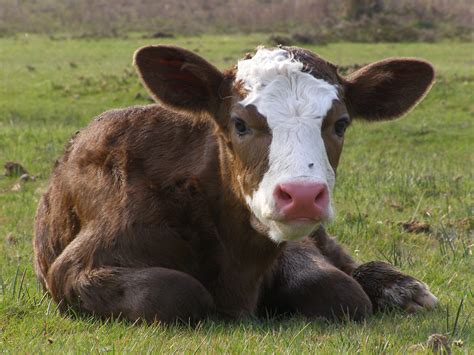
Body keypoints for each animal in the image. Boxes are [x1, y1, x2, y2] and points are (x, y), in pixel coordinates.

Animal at [34, 43, 440, 322]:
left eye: (340, 123)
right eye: (240, 124)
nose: (303, 196)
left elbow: (338, 289)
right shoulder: (75, 268)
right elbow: (175, 291)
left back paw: (404, 288)